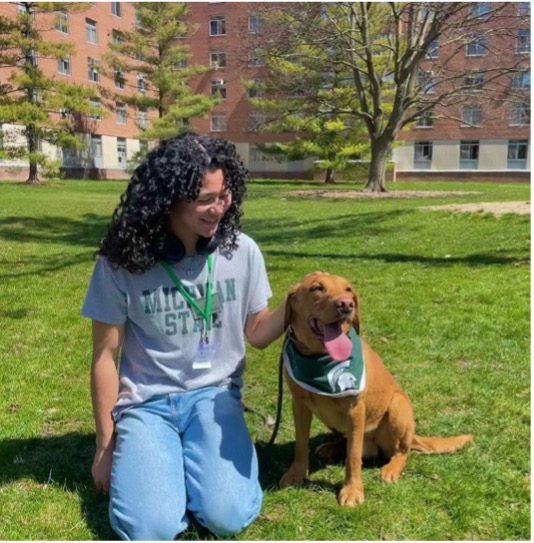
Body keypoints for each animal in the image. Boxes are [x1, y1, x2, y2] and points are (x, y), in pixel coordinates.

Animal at [280, 274, 474, 508]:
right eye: (317, 288)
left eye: (348, 289)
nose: (347, 304)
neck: (319, 358)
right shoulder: (299, 404)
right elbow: (301, 445)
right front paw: (296, 474)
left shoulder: (355, 409)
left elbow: (353, 457)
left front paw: (352, 489)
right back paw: (333, 447)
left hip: (398, 405)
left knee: (401, 451)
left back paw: (391, 468)